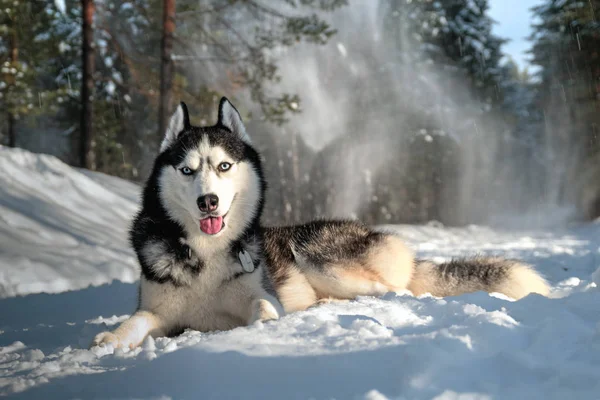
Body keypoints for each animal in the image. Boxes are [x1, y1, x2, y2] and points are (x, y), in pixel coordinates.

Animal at [92, 98, 548, 348]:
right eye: (187, 170)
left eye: (223, 166)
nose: (209, 202)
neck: (207, 257)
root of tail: (372, 231)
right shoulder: (159, 311)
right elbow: (136, 322)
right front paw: (110, 340)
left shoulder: (261, 293)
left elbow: (263, 306)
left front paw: (264, 325)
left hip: (318, 258)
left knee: (389, 292)